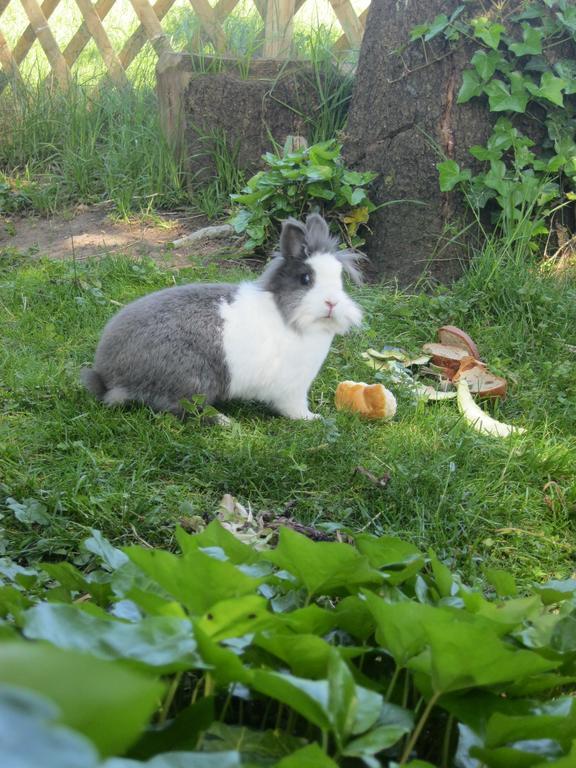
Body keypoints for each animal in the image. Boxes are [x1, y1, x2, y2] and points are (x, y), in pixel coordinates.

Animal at [80, 213, 364, 420]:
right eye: (306, 279)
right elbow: (294, 409)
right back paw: (223, 420)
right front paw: (314, 419)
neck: (288, 314)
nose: (332, 302)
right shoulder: (292, 389)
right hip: (193, 380)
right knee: (181, 409)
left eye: (340, 278)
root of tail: (108, 377)